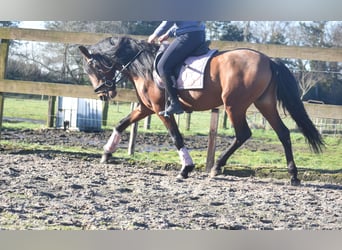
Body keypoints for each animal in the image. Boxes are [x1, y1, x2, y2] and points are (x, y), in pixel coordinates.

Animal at [79, 36, 324, 186]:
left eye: (94, 67)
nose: (102, 94)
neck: (142, 63)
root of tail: (268, 60)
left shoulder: (160, 110)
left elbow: (176, 138)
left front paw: (186, 169)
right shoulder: (146, 108)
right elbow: (121, 123)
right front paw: (106, 153)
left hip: (234, 105)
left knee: (243, 134)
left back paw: (216, 167)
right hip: (264, 103)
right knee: (283, 133)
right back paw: (293, 176)